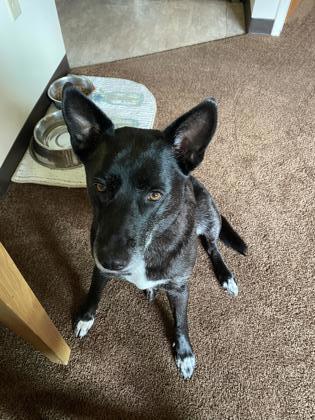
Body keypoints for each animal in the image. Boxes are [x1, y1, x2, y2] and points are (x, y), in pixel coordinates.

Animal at [63, 85, 248, 380]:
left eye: (155, 195)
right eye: (100, 186)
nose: (112, 261)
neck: (151, 245)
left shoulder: (180, 288)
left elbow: (181, 322)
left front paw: (183, 352)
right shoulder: (99, 270)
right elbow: (94, 292)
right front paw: (85, 316)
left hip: (208, 216)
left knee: (212, 245)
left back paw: (225, 275)